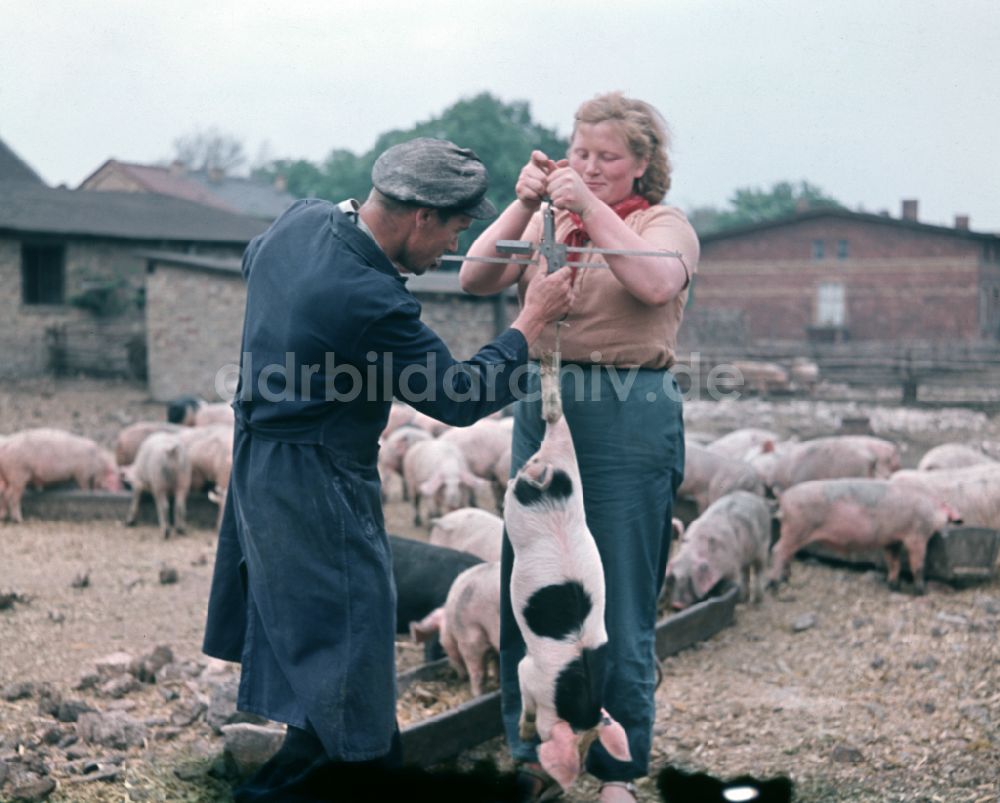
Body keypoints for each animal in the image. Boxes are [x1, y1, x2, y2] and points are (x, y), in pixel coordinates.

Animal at [504, 418, 628, 796]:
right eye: (580, 745)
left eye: (593, 743)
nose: (585, 766)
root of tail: (545, 480)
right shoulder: (529, 671)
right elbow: (524, 694)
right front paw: (525, 730)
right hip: (520, 508)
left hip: (566, 469)